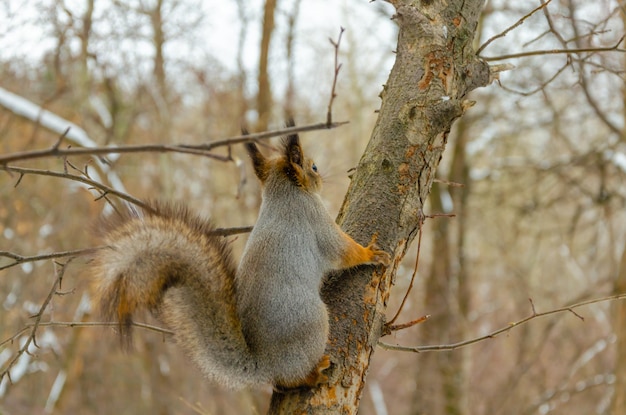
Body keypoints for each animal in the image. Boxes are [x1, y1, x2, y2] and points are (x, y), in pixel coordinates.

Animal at [91, 129, 390, 390]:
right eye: (313, 167)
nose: (322, 179)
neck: (284, 194)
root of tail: (265, 363)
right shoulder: (314, 218)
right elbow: (342, 250)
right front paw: (370, 253)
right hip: (313, 322)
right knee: (289, 379)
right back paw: (312, 375)